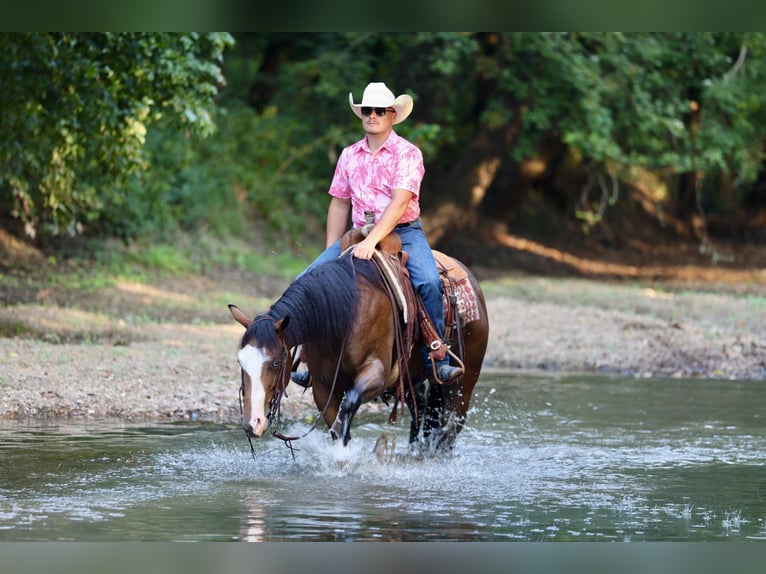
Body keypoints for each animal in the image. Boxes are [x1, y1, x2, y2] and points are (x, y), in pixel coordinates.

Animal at [228, 248, 489, 454]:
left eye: (274, 363)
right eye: (241, 362)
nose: (253, 423)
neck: (341, 316)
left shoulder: (376, 373)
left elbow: (349, 405)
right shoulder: (322, 386)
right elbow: (334, 422)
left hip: (465, 380)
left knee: (451, 425)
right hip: (413, 380)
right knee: (423, 413)